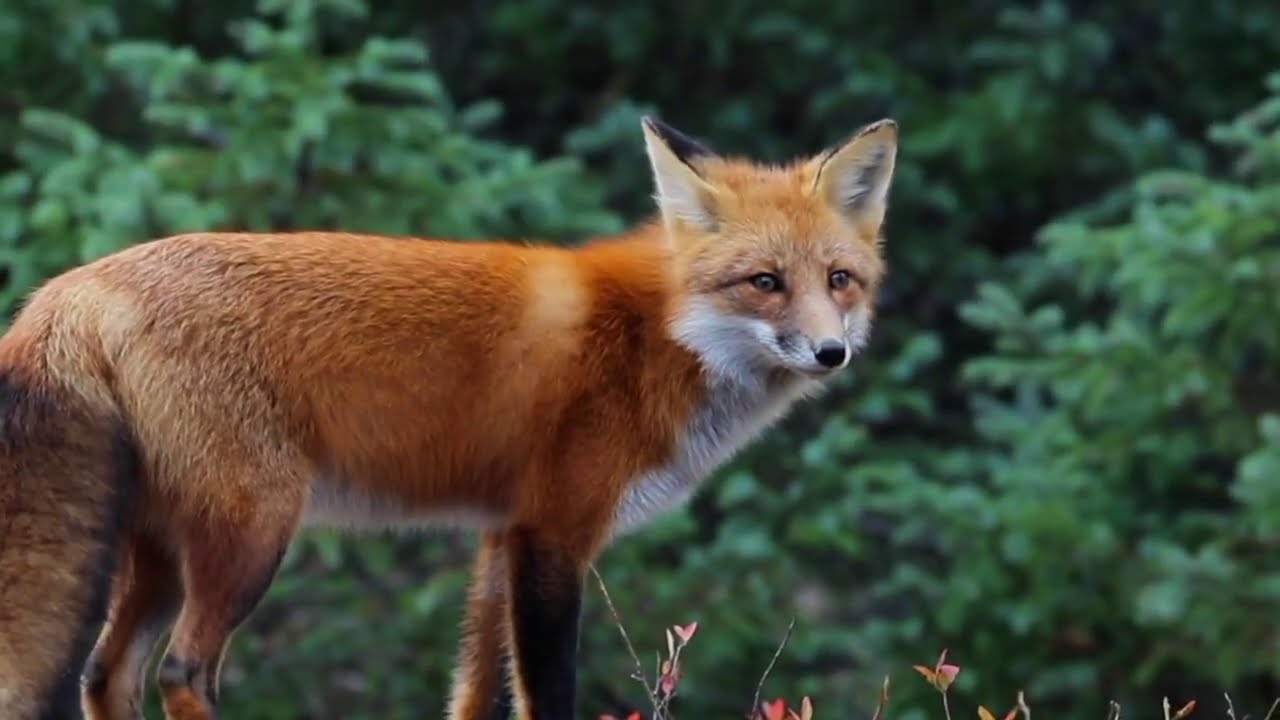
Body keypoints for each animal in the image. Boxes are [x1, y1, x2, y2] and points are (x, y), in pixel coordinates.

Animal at [0, 114, 897, 720]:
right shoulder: (552, 534)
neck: (654, 333)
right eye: (765, 283)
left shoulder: (500, 538)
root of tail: (71, 287)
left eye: (840, 280)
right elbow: (548, 692)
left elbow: (474, 693)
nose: (830, 353)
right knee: (182, 670)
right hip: (250, 533)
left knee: (105, 673)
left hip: (156, 550)